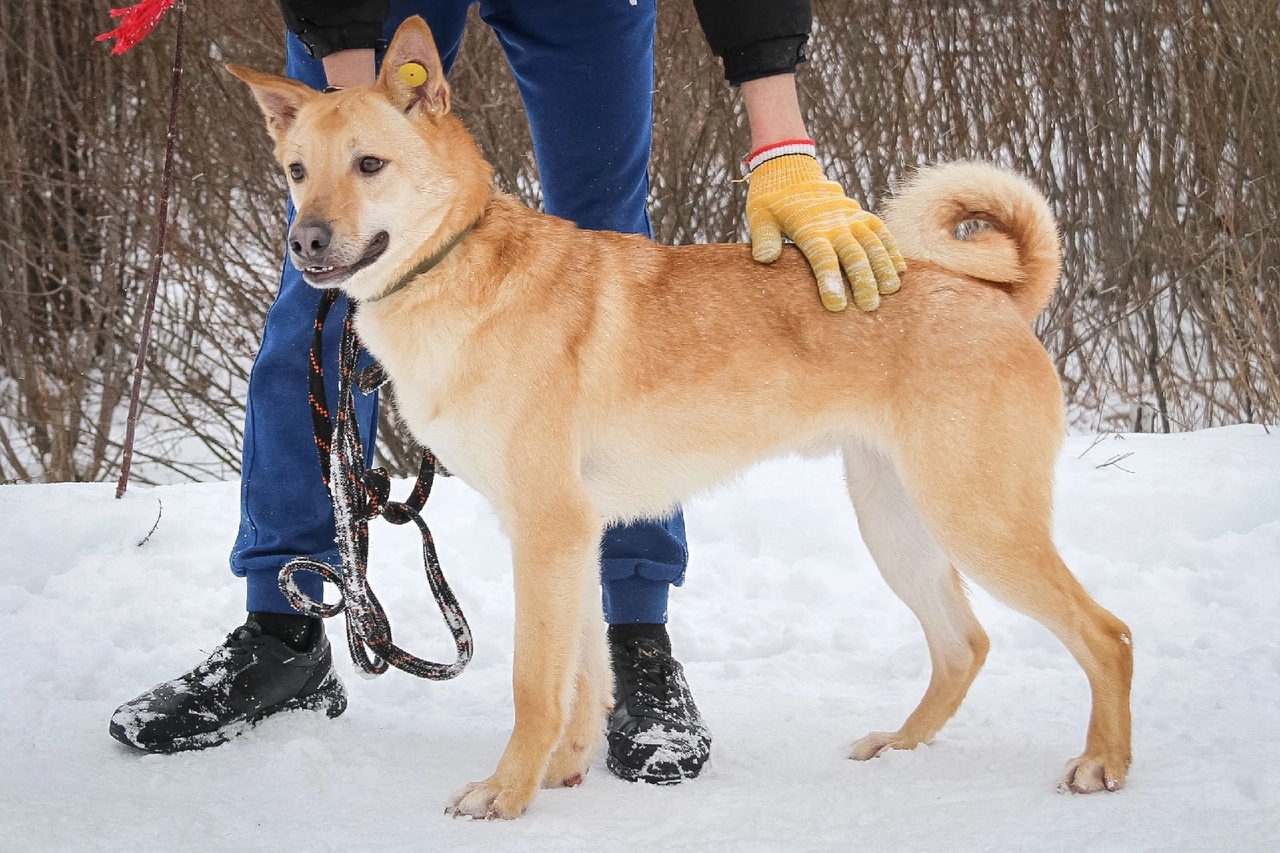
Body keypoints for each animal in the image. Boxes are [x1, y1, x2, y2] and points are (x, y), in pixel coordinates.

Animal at [227, 14, 1131, 819]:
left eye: (370, 163)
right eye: (297, 170)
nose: (306, 243)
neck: (456, 269)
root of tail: (994, 295)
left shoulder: (548, 529)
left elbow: (534, 683)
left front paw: (506, 793)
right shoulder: (569, 536)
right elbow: (582, 675)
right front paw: (562, 770)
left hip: (976, 516)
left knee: (1106, 633)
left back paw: (1102, 764)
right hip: (897, 520)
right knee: (963, 644)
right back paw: (899, 748)